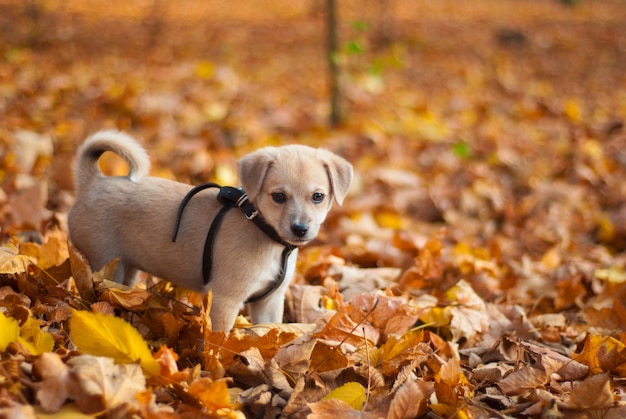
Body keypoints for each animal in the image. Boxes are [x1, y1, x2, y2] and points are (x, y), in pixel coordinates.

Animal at [69, 131, 354, 332]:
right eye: (279, 197)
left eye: (318, 196)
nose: (300, 229)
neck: (263, 232)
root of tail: (93, 183)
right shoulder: (226, 300)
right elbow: (220, 342)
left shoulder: (269, 302)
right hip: (103, 264)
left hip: (127, 270)